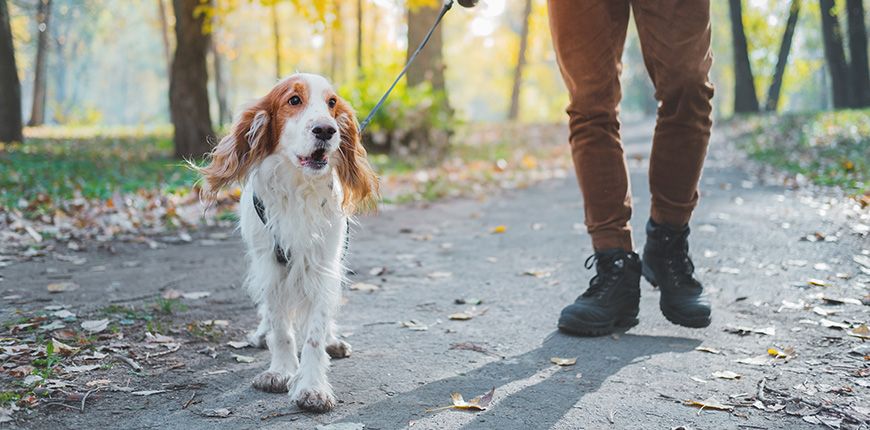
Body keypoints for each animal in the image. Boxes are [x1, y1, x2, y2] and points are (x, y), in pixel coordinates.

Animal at [204, 74, 382, 414]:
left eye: (332, 103)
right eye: (294, 100)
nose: (326, 130)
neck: (299, 187)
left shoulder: (323, 266)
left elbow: (313, 334)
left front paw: (312, 387)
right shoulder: (270, 264)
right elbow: (281, 328)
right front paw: (281, 371)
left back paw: (332, 340)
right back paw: (262, 335)